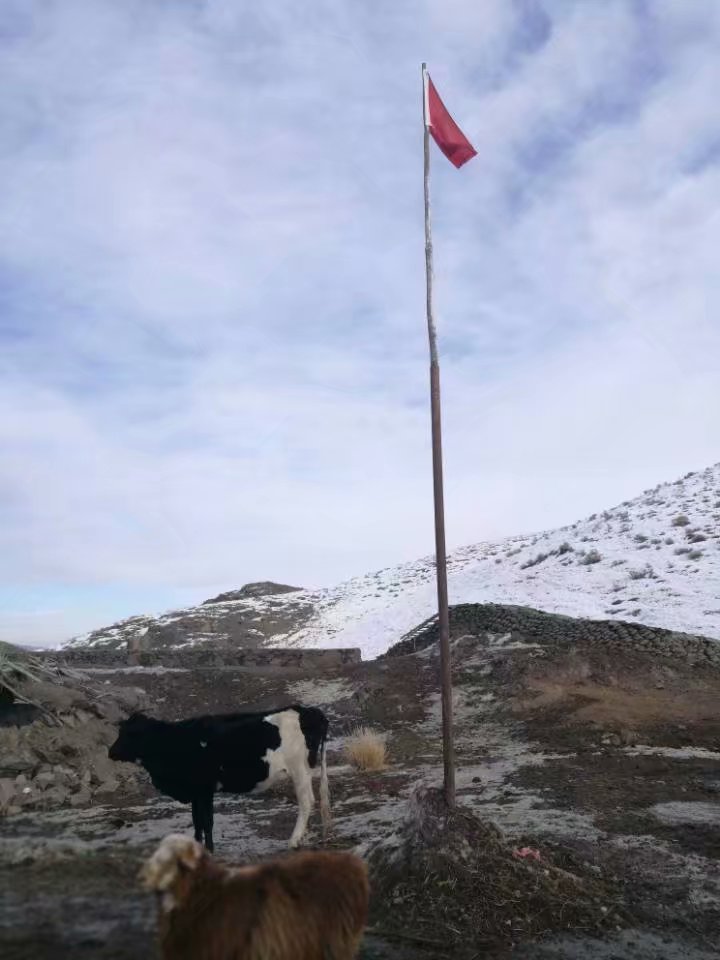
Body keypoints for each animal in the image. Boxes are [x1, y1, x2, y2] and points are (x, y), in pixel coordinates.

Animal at [107, 700, 332, 852]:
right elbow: (197, 820)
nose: (111, 752)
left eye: (130, 734)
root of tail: (306, 710)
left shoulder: (204, 788)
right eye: (120, 731)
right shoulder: (196, 791)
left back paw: (294, 841)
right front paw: (197, 846)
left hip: (299, 770)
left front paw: (209, 849)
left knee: (306, 802)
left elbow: (206, 821)